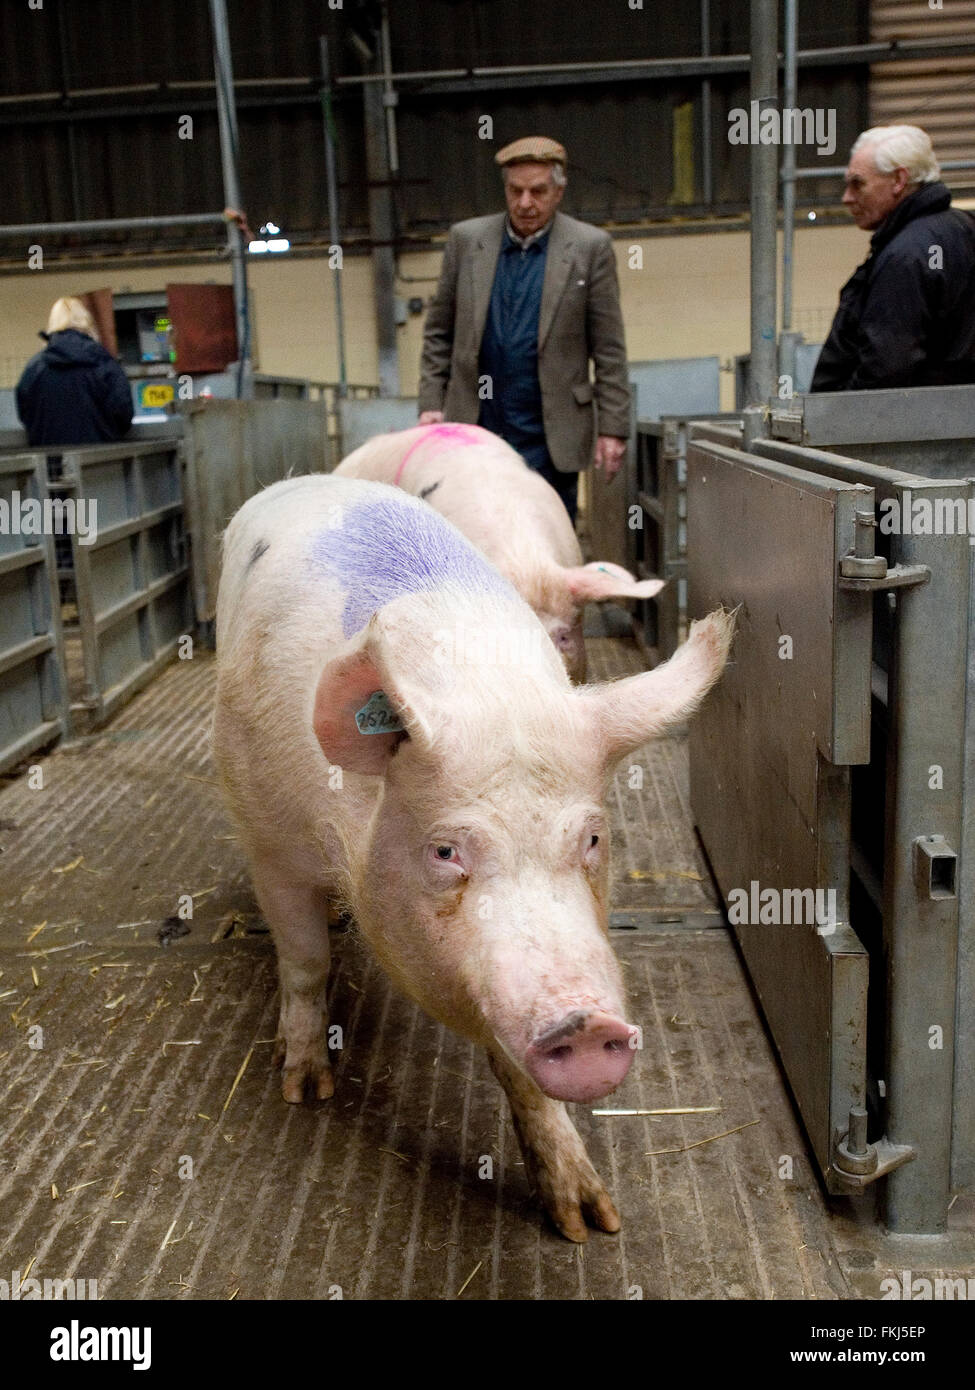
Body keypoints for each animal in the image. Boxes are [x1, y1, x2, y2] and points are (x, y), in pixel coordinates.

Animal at [212, 472, 728, 1245]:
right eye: (446, 849)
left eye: (592, 838)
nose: (587, 1025)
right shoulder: (268, 838)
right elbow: (304, 962)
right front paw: (303, 1087)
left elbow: (519, 1076)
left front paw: (587, 1223)